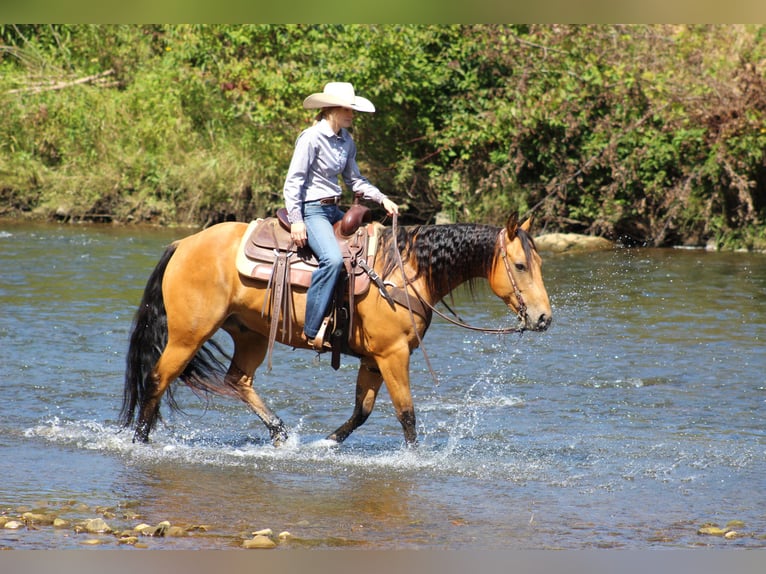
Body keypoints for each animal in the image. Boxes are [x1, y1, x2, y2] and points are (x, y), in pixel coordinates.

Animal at [120, 214, 552, 448]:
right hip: (188, 335)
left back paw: (281, 434)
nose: (544, 318)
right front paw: (416, 457)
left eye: (540, 263)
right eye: (519, 265)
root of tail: (183, 243)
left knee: (237, 380)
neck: (403, 273)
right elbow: (407, 414)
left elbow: (363, 411)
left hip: (250, 334)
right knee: (158, 378)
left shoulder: (375, 360)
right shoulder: (393, 355)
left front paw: (327, 442)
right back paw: (140, 440)